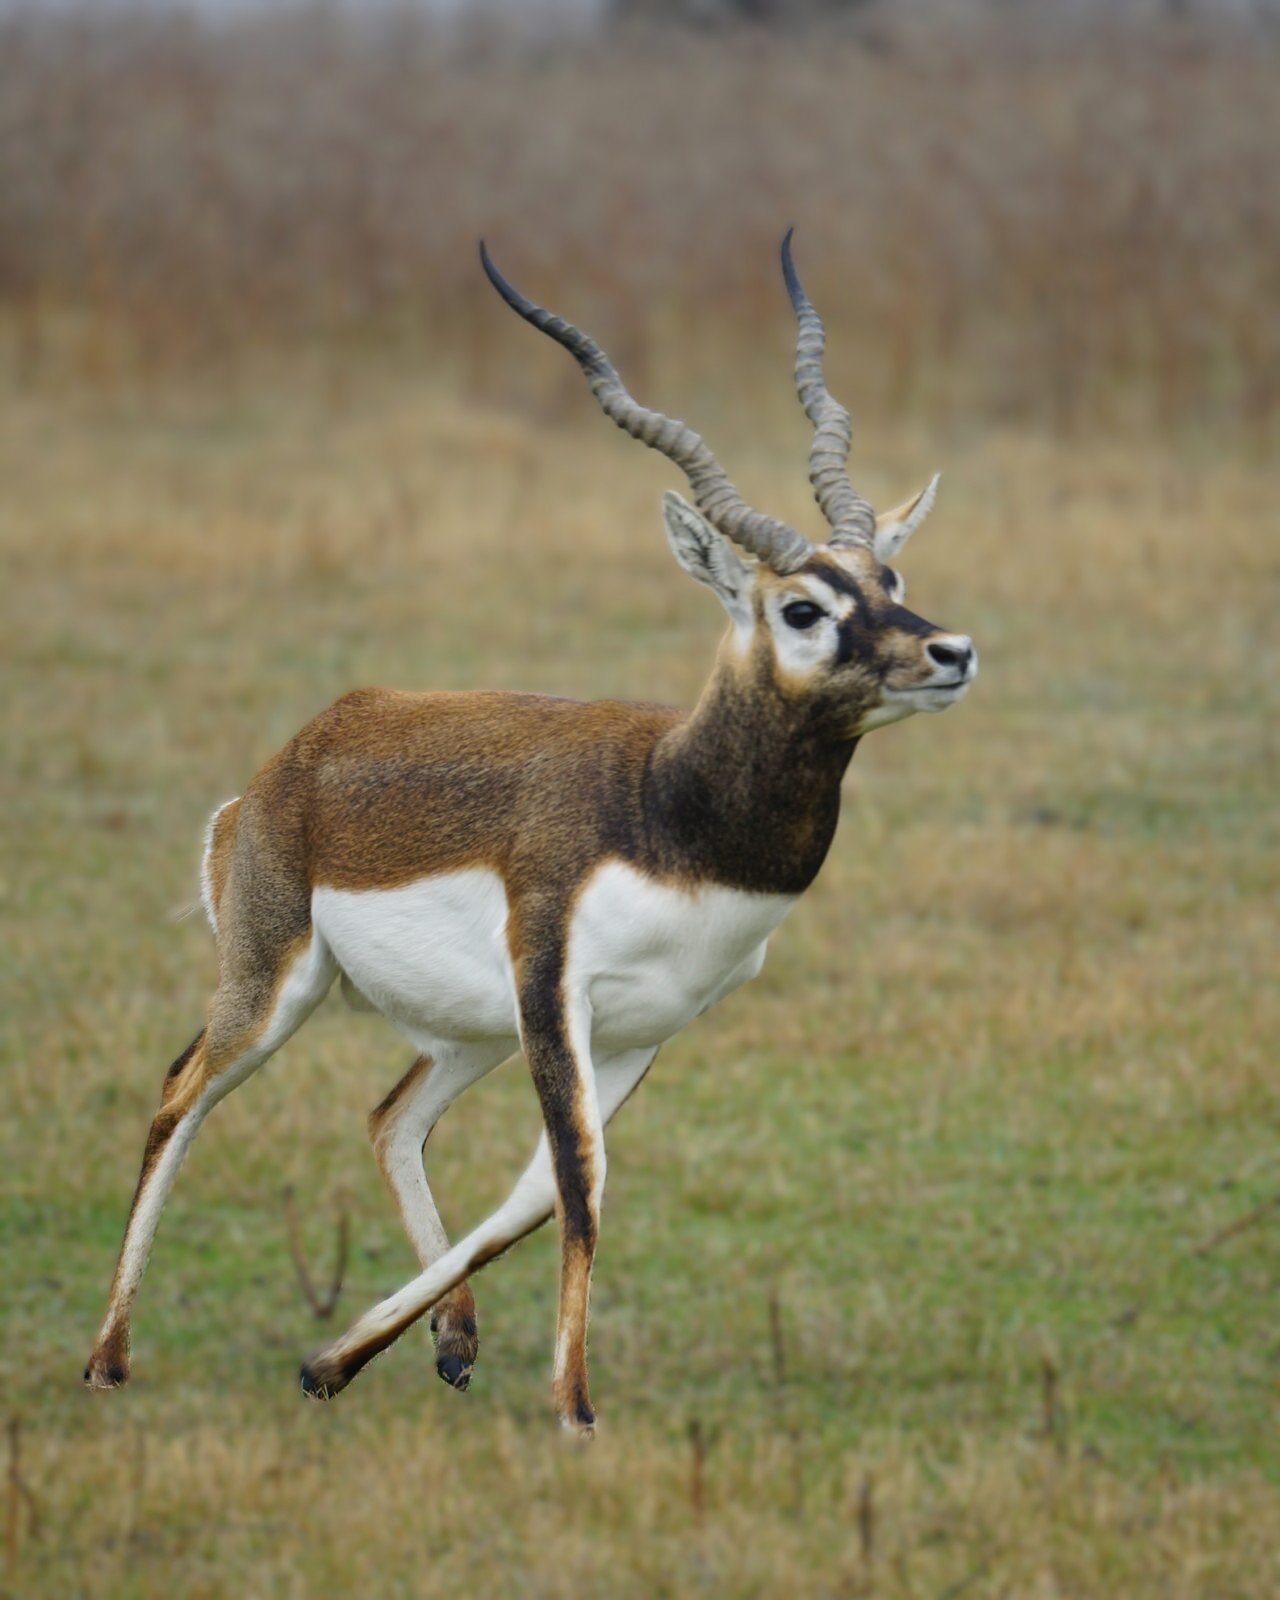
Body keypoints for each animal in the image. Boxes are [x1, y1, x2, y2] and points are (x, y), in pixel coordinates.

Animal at [84, 233, 976, 1434]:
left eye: (890, 576)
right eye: (801, 608)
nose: (950, 651)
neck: (668, 806)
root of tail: (289, 761)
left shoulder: (644, 1026)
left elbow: (535, 1193)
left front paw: (331, 1363)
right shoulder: (555, 985)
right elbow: (581, 1183)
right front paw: (576, 1414)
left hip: (468, 1027)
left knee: (390, 1118)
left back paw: (428, 1347)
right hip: (275, 981)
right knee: (180, 1095)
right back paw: (107, 1359)